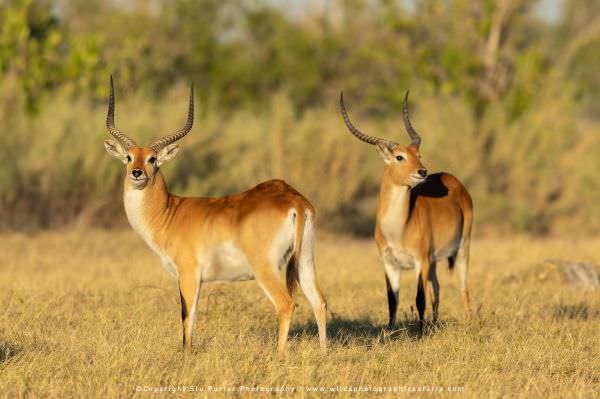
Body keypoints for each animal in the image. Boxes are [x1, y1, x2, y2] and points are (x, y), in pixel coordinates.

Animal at [103, 78, 328, 354]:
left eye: (152, 159)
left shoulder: (189, 274)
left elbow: (187, 315)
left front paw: (186, 354)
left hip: (266, 268)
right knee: (319, 302)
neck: (169, 213)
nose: (136, 173)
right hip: (305, 261)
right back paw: (323, 353)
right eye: (128, 156)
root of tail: (294, 199)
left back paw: (278, 355)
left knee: (286, 304)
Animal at [340, 92, 472, 332]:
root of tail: (454, 180)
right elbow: (392, 300)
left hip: (462, 248)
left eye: (418, 153)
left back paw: (468, 322)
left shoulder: (420, 261)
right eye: (399, 157)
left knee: (463, 287)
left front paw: (419, 333)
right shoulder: (390, 264)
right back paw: (435, 323)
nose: (422, 171)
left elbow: (419, 299)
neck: (399, 228)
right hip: (434, 261)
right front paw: (391, 332)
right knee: (436, 287)